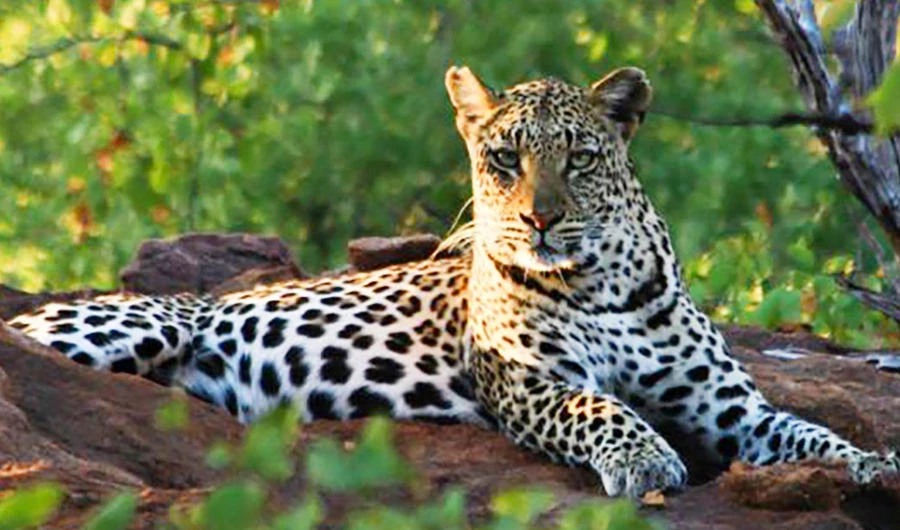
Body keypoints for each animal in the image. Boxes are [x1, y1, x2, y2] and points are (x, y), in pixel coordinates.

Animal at [7, 65, 898, 499]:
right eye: (503, 158)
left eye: (581, 157)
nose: (539, 221)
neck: (603, 281)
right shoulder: (528, 382)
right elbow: (599, 407)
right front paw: (647, 460)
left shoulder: (730, 406)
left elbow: (807, 432)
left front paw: (871, 465)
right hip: (132, 325)